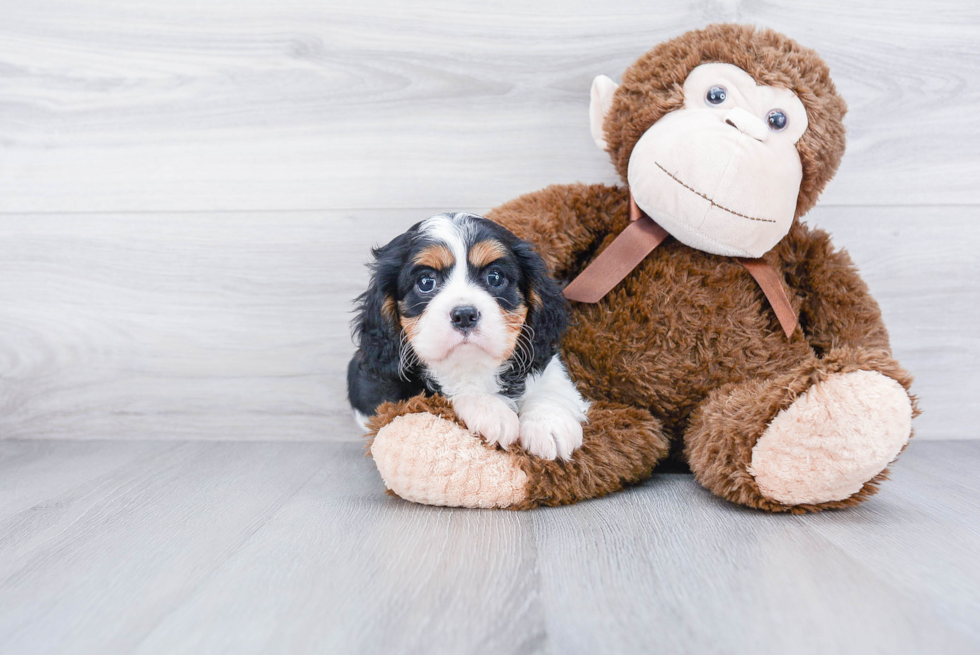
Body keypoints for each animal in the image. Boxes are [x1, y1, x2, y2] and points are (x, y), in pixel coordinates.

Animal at [346, 213, 588, 458]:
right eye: (426, 282)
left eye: (494, 277)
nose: (464, 315)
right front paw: (489, 410)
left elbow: (550, 378)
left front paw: (549, 422)